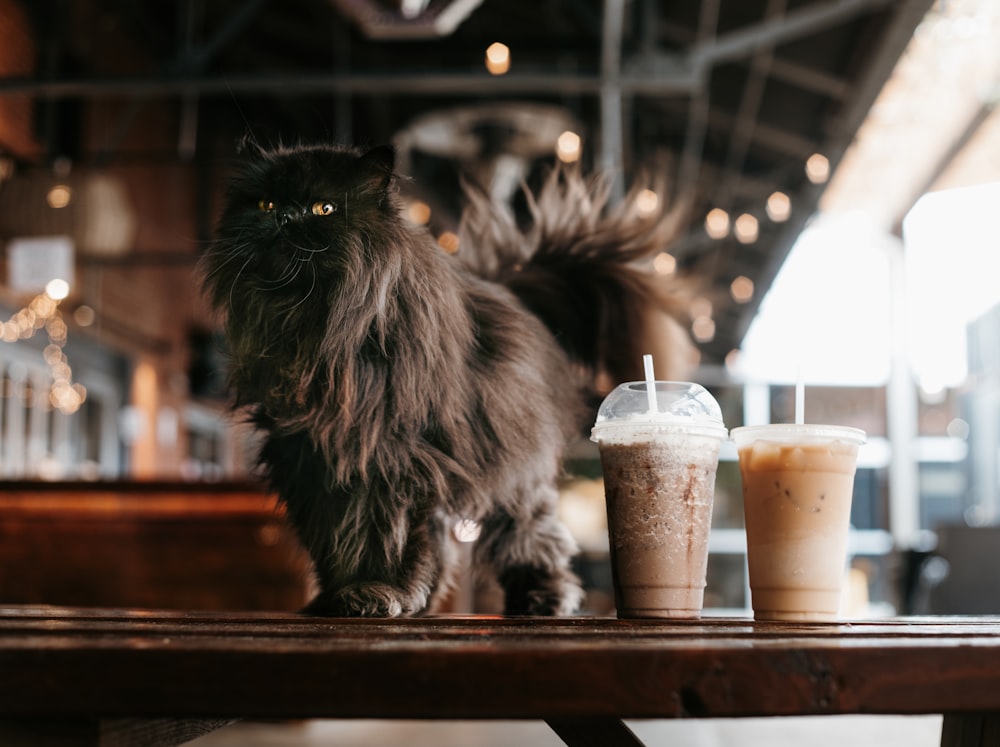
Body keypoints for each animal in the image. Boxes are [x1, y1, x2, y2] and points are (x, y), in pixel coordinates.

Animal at [203, 140, 688, 620]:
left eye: (324, 208)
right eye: (266, 204)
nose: (285, 217)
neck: (314, 329)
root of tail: (509, 292)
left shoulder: (388, 458)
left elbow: (380, 536)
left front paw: (374, 591)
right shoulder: (311, 459)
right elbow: (333, 539)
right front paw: (336, 597)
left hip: (508, 473)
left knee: (531, 535)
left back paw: (543, 598)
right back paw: (427, 601)